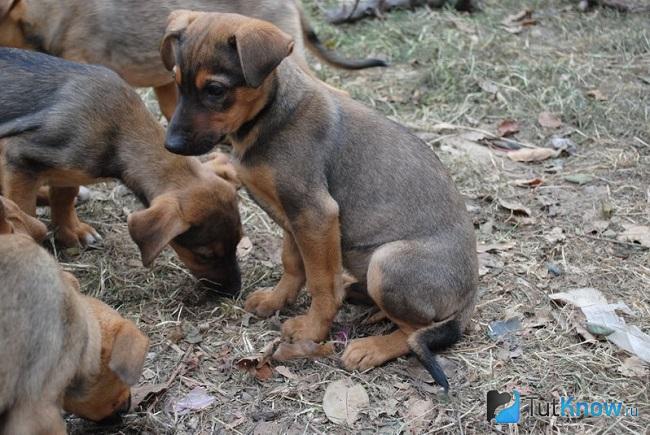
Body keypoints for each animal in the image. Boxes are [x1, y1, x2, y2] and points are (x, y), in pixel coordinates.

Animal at [0, 48, 243, 296]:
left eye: (238, 242)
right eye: (205, 255)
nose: (235, 290)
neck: (118, 133)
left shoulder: (68, 169)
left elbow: (64, 196)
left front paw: (71, 231)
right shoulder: (20, 157)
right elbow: (25, 210)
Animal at [162, 11, 476, 390]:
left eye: (215, 90)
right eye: (176, 82)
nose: (170, 146)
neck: (269, 116)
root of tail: (470, 298)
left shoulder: (315, 213)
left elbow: (321, 283)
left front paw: (312, 330)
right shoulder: (292, 215)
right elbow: (293, 263)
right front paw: (277, 300)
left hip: (387, 261)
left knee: (416, 332)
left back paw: (371, 348)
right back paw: (361, 298)